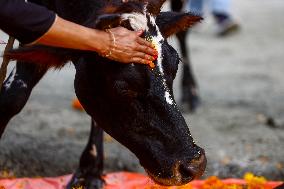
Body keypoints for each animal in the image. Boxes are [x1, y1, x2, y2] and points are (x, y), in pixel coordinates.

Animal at [1, 0, 207, 188]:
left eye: (175, 65)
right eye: (124, 87)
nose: (194, 165)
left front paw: (90, 171)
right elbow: (12, 97)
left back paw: (191, 92)